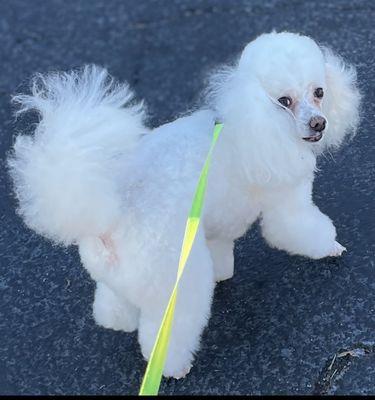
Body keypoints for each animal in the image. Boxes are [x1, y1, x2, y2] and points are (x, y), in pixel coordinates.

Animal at [8, 32, 362, 378]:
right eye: (283, 101)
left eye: (319, 92)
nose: (319, 123)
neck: (250, 124)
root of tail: (112, 218)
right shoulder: (285, 197)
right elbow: (298, 228)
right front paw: (331, 247)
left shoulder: (216, 221)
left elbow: (221, 247)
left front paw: (223, 272)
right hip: (175, 277)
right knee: (168, 329)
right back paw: (174, 367)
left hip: (124, 273)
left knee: (113, 302)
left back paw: (118, 320)